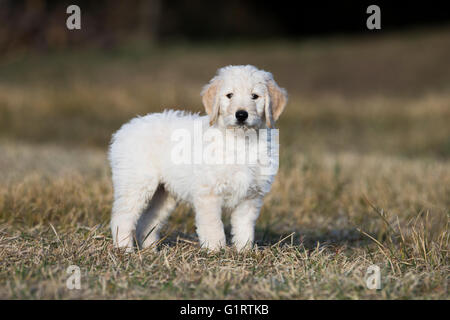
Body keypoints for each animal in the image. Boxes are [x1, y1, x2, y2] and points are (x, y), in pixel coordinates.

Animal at [108, 64, 288, 250]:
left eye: (255, 96)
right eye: (229, 95)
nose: (241, 115)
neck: (240, 142)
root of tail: (125, 128)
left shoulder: (250, 196)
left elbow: (244, 228)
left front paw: (244, 251)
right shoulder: (208, 193)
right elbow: (213, 226)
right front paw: (216, 251)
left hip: (164, 194)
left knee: (147, 222)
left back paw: (151, 251)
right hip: (135, 184)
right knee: (122, 218)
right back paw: (125, 250)